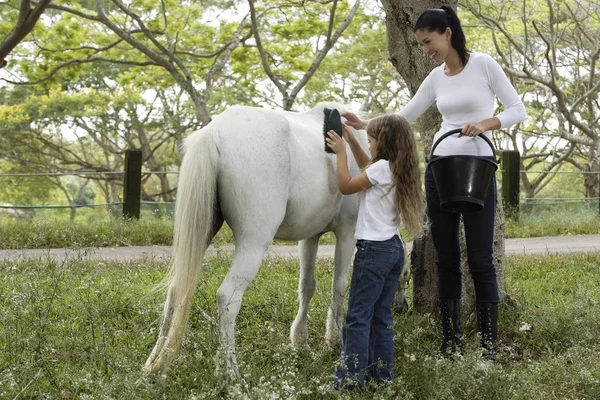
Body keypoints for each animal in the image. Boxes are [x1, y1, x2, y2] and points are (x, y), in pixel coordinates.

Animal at [144, 102, 410, 382]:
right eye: (405, 273)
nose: (403, 308)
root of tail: (214, 131)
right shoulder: (347, 233)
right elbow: (339, 286)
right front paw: (334, 339)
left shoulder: (310, 237)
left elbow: (307, 286)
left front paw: (300, 341)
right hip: (254, 244)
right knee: (227, 297)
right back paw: (231, 374)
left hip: (203, 232)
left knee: (175, 291)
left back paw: (155, 363)